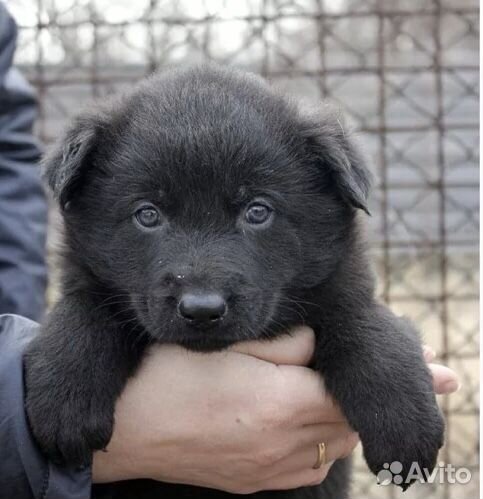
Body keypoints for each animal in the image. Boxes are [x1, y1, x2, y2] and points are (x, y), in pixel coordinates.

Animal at [24, 64, 444, 498]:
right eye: (148, 214)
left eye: (257, 211)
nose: (202, 310)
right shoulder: (91, 284)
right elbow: (83, 313)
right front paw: (66, 399)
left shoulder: (341, 290)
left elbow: (369, 327)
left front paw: (403, 426)